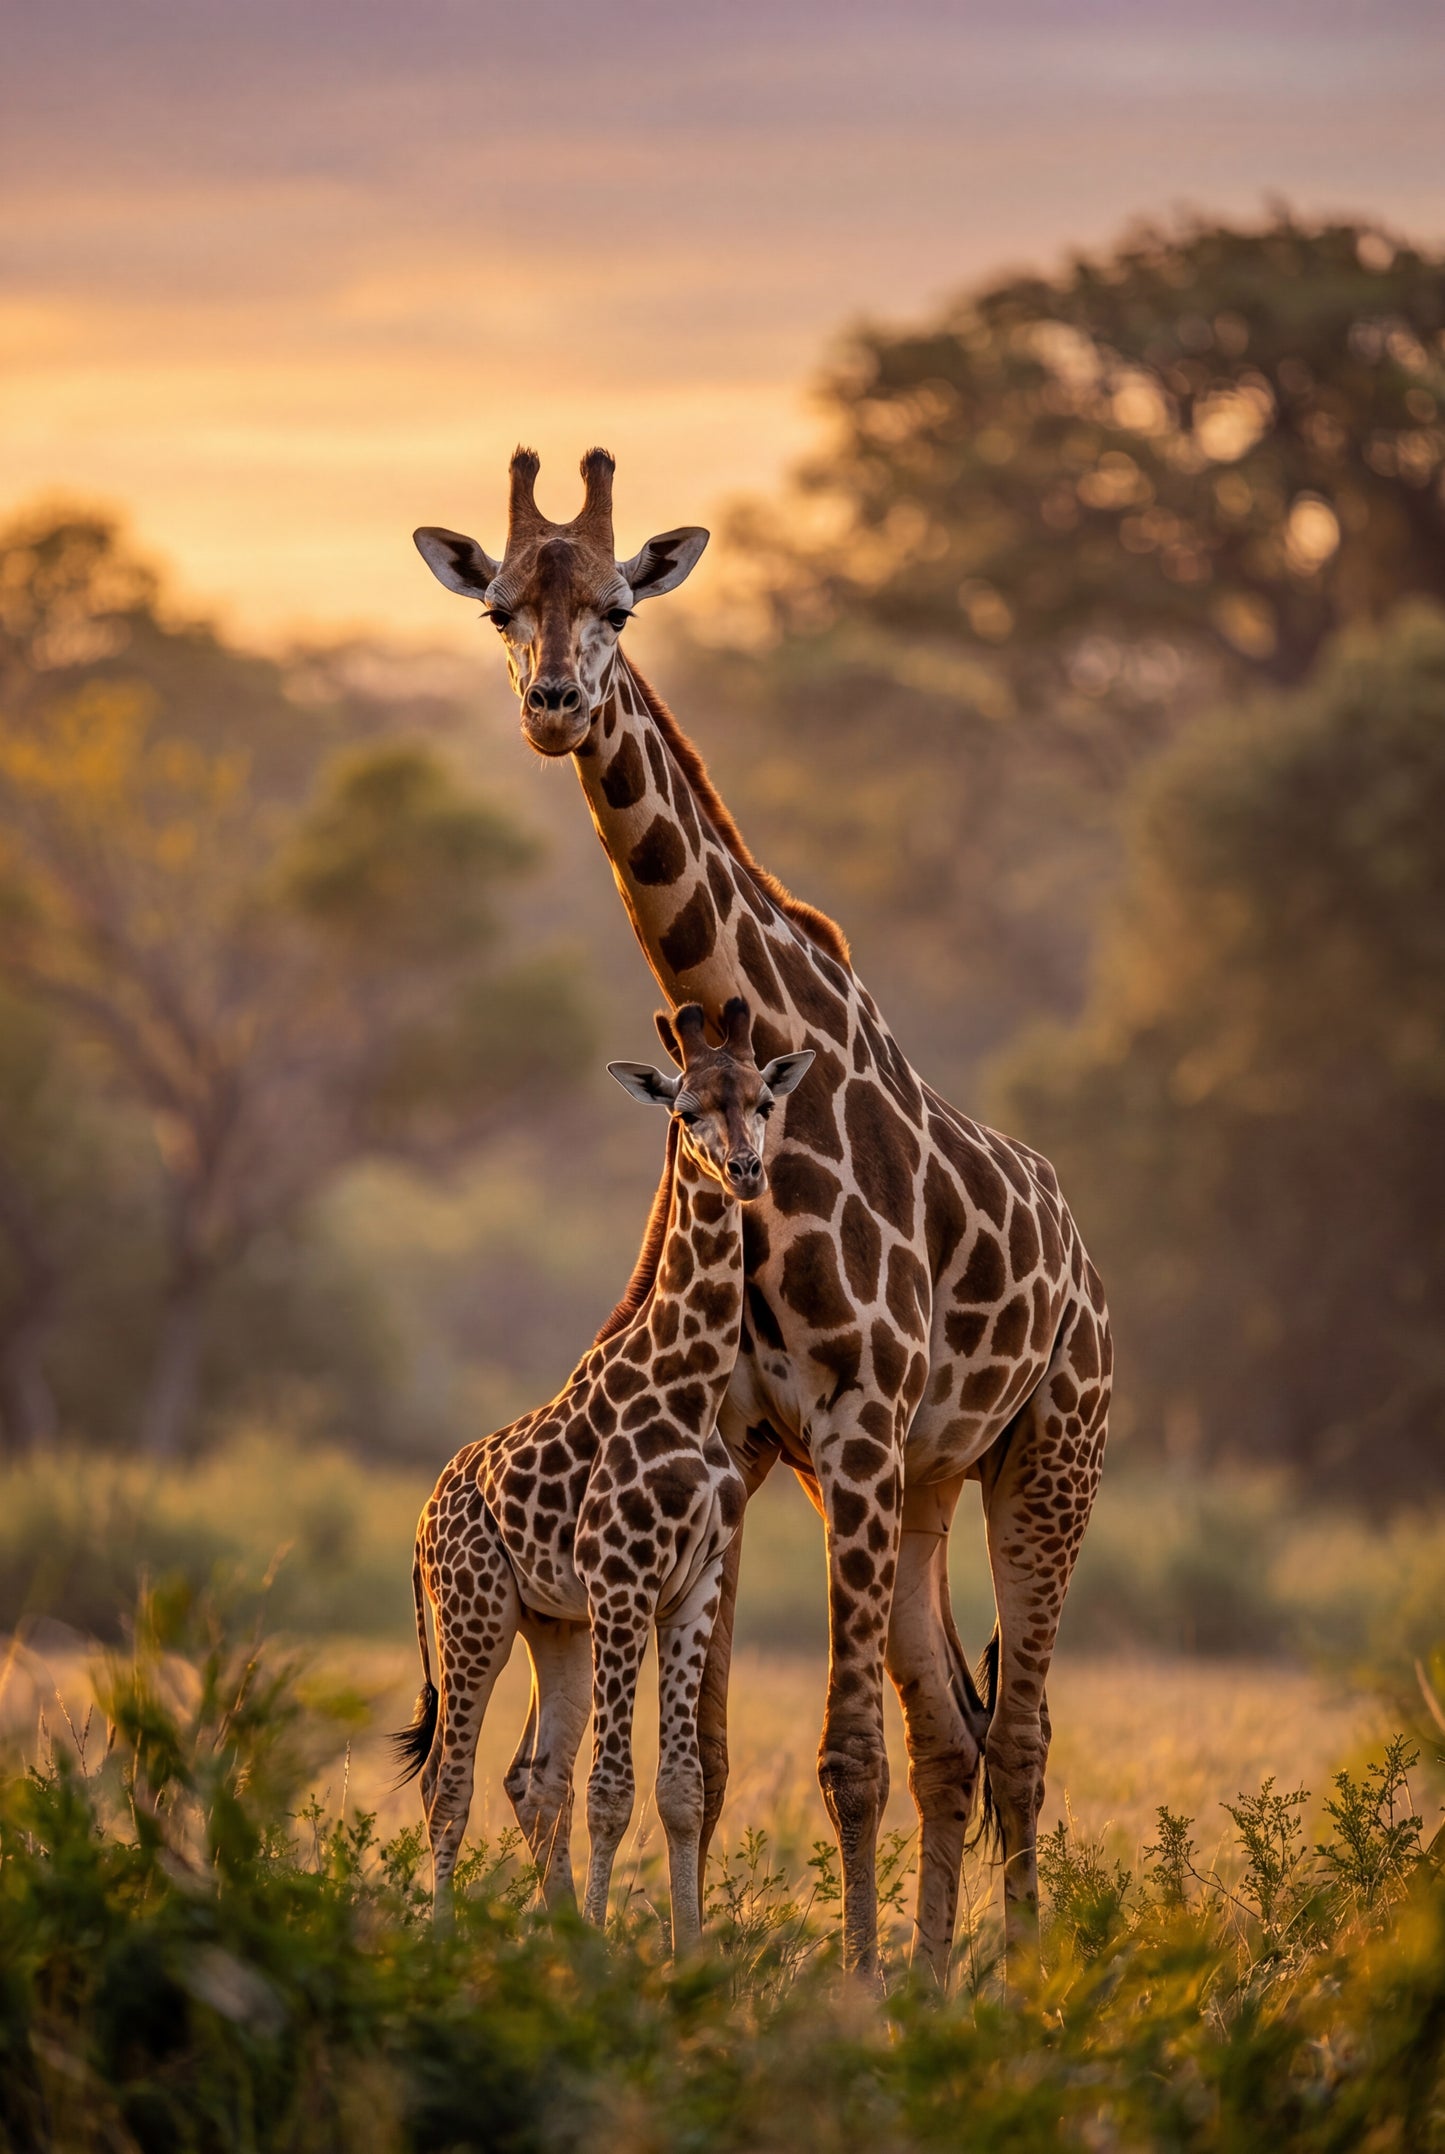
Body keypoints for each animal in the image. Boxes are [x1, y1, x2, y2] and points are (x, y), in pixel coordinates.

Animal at [392, 997, 813, 1952]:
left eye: (762, 1101)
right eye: (685, 1110)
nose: (743, 1170)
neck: (689, 1388)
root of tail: (422, 1522)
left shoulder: (691, 1588)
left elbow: (680, 1788)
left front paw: (686, 1955)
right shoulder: (626, 1585)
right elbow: (612, 1790)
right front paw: (629, 1956)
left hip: (557, 1627)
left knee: (528, 1776)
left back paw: (564, 1947)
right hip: (476, 1615)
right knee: (448, 1783)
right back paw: (440, 1942)